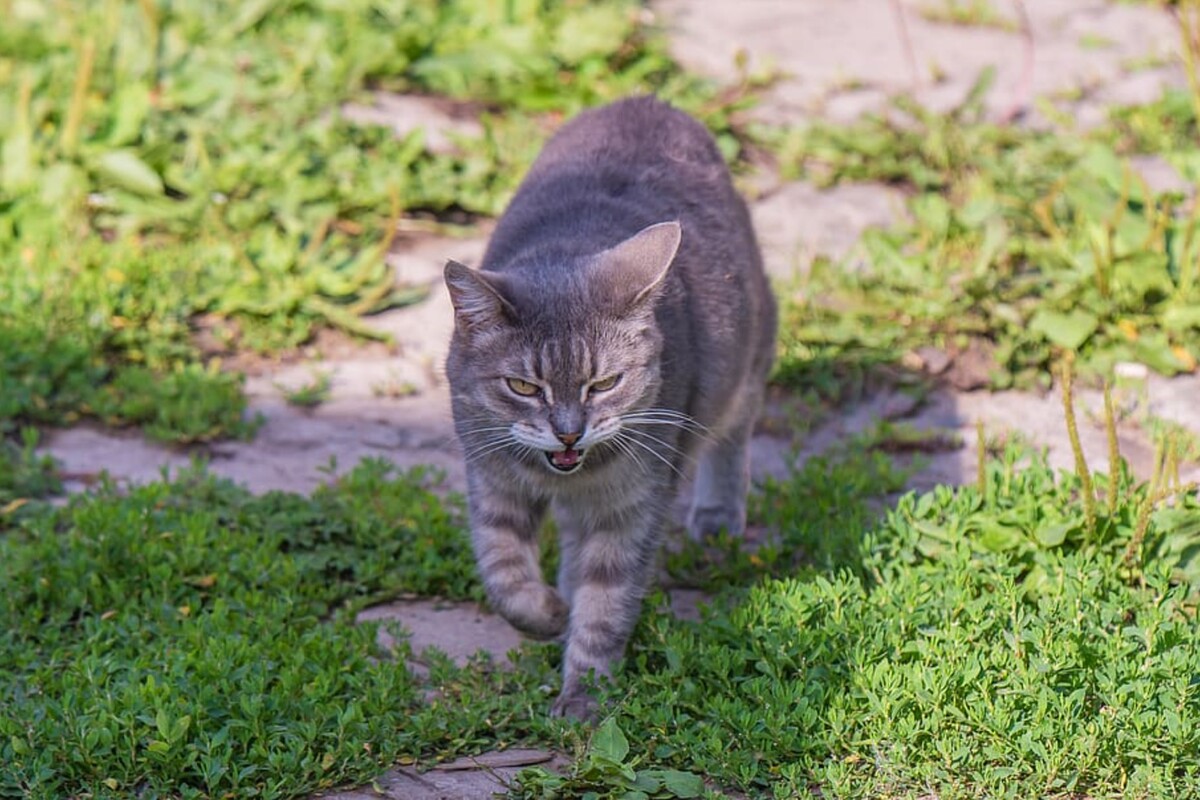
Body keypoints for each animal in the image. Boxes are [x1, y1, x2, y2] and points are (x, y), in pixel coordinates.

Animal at [446, 95, 772, 719]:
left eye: (604, 383)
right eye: (523, 386)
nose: (569, 433)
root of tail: (645, 99)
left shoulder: (633, 506)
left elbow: (606, 603)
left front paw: (584, 697)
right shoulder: (492, 479)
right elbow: (503, 574)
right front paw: (548, 612)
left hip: (747, 358)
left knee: (737, 427)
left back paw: (717, 514)